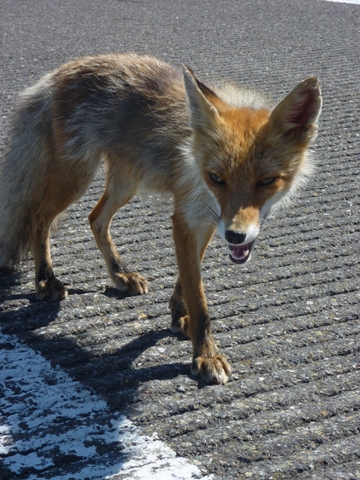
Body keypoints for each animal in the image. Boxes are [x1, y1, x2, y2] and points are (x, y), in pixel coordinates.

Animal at [0, 51, 320, 382]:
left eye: (267, 181)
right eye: (216, 178)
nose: (235, 235)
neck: (196, 165)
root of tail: (59, 73)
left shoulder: (207, 220)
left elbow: (188, 278)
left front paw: (180, 315)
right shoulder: (186, 218)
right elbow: (198, 296)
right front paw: (205, 354)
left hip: (126, 181)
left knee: (95, 218)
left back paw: (119, 274)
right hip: (76, 177)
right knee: (39, 218)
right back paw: (45, 280)